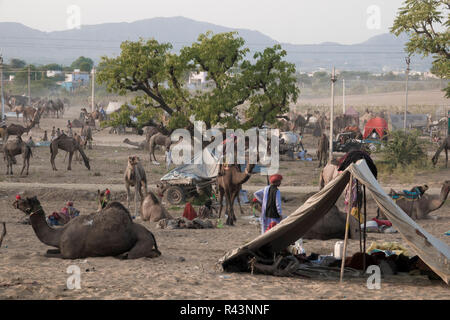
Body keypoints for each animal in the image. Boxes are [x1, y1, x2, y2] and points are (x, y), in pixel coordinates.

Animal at [14, 195, 161, 260]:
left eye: (25, 200)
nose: (14, 202)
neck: (59, 234)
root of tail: (150, 233)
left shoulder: (69, 255)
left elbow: (47, 254)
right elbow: (48, 251)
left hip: (143, 241)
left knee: (132, 254)